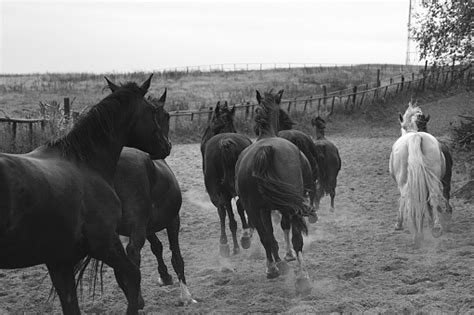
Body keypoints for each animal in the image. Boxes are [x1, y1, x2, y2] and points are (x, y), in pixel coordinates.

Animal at [0, 74, 170, 315]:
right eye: (153, 112)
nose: (167, 146)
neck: (86, 163)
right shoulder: (105, 244)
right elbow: (132, 275)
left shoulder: (59, 260)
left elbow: (71, 304)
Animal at [114, 92, 195, 308]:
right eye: (166, 115)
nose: (167, 145)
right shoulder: (172, 220)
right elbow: (176, 256)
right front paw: (186, 295)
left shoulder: (146, 226)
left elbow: (157, 247)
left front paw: (165, 276)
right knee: (132, 254)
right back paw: (136, 299)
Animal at [199, 102, 252, 258]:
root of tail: (225, 143)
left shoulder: (217, 196)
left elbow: (223, 214)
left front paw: (225, 244)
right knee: (239, 207)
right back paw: (243, 238)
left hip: (222, 192)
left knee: (231, 214)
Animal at [234, 90, 314, 296]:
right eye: (283, 112)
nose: (290, 123)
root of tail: (265, 149)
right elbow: (285, 230)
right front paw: (286, 257)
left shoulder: (264, 209)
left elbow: (269, 235)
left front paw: (279, 261)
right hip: (288, 206)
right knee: (296, 239)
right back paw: (301, 277)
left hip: (254, 208)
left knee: (265, 237)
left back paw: (274, 269)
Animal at [388, 103, 448, 247]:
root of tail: (415, 137)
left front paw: (399, 224)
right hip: (431, 178)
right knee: (432, 196)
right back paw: (435, 228)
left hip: (404, 181)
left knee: (408, 198)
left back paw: (416, 233)